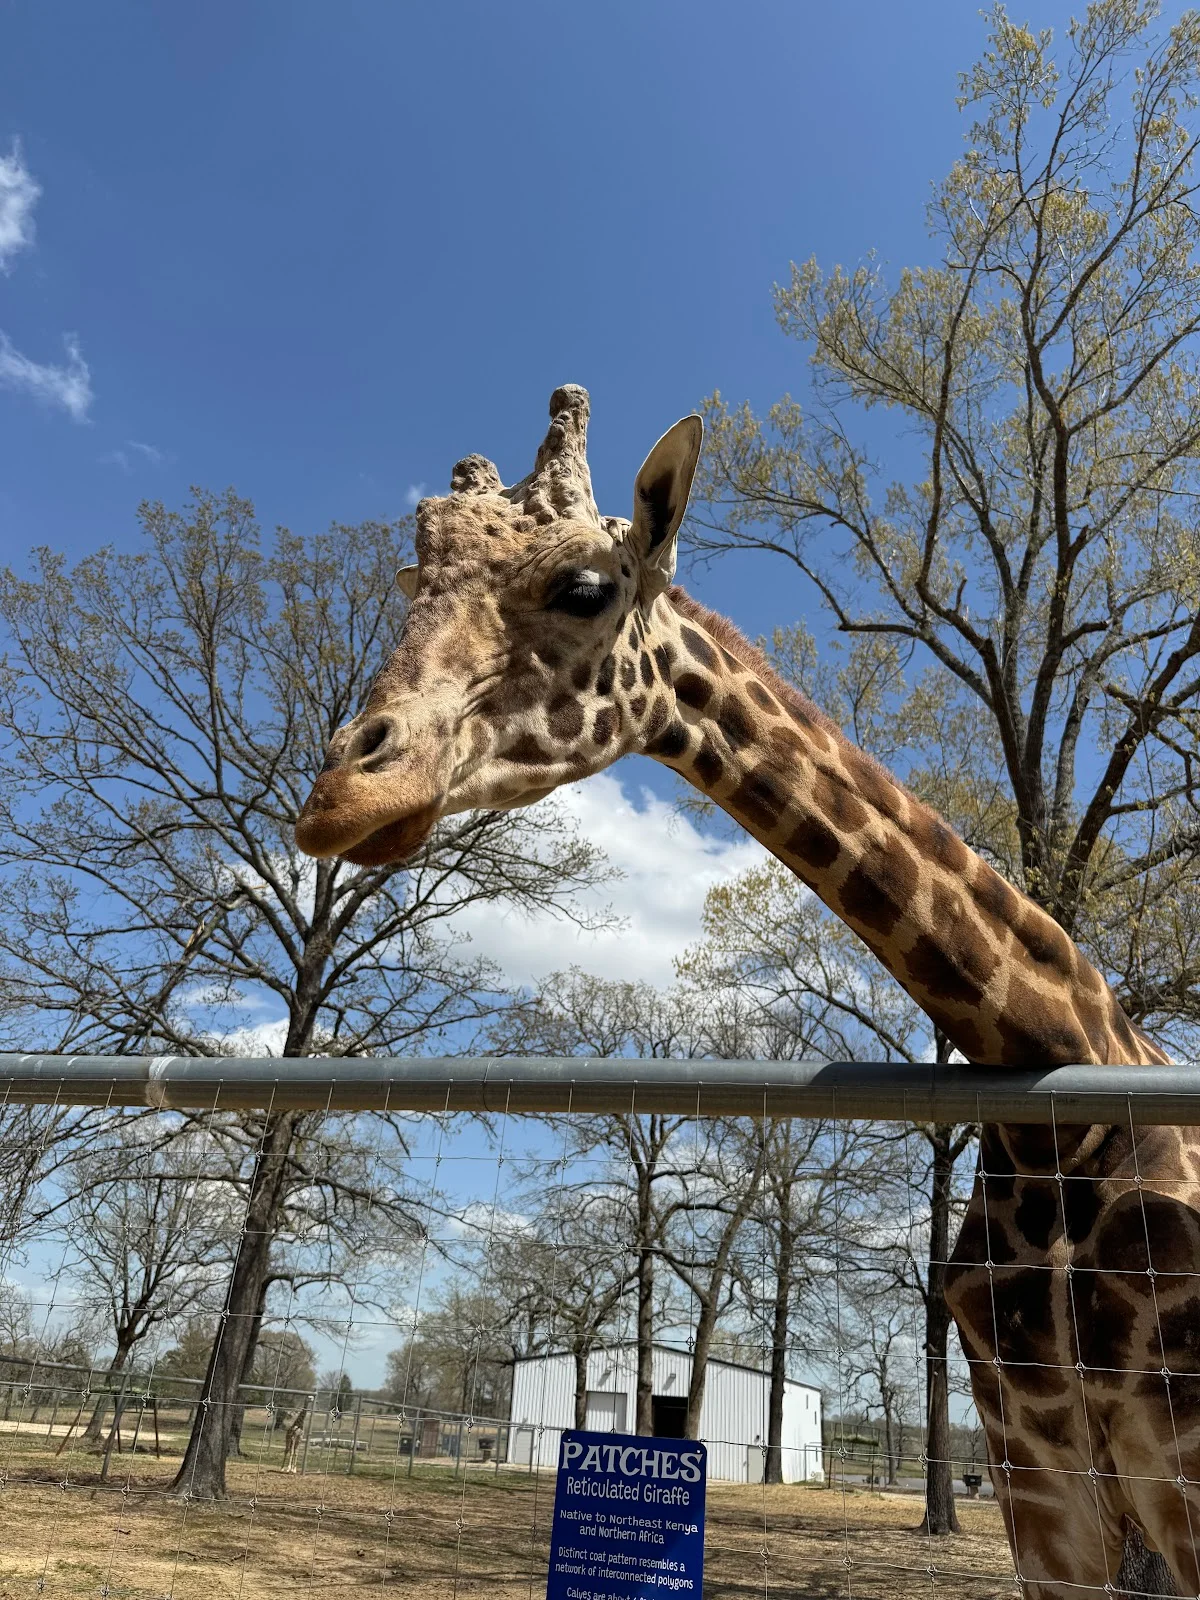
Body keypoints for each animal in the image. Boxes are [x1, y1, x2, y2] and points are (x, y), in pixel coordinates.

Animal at [295, 385, 1200, 1598]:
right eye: (410, 585)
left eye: (585, 587)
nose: (342, 793)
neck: (1060, 1109)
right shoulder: (1042, 1485)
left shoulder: (1175, 1471)